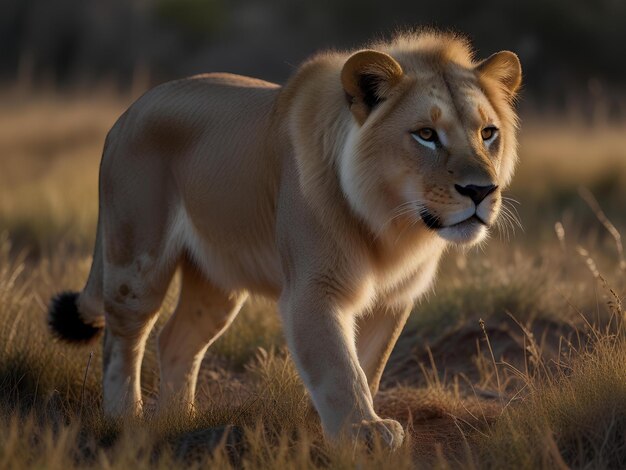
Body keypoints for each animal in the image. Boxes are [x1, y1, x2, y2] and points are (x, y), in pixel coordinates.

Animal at [46, 29, 520, 448]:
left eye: (488, 133)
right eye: (426, 134)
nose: (481, 191)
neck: (393, 226)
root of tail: (128, 113)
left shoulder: (393, 299)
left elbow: (368, 365)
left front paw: (330, 423)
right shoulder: (314, 289)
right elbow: (338, 367)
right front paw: (363, 431)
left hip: (216, 283)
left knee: (176, 339)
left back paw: (180, 420)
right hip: (136, 260)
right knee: (123, 339)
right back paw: (125, 419)